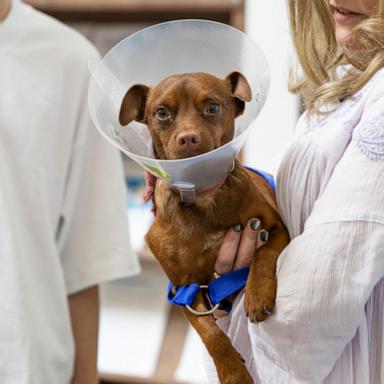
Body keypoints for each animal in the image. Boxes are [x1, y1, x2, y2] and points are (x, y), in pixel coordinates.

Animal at [118, 73, 290, 384]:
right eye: (162, 113)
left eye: (213, 107)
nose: (188, 138)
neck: (202, 197)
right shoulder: (184, 290)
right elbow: (210, 334)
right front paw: (233, 372)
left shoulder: (275, 227)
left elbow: (264, 254)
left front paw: (257, 295)